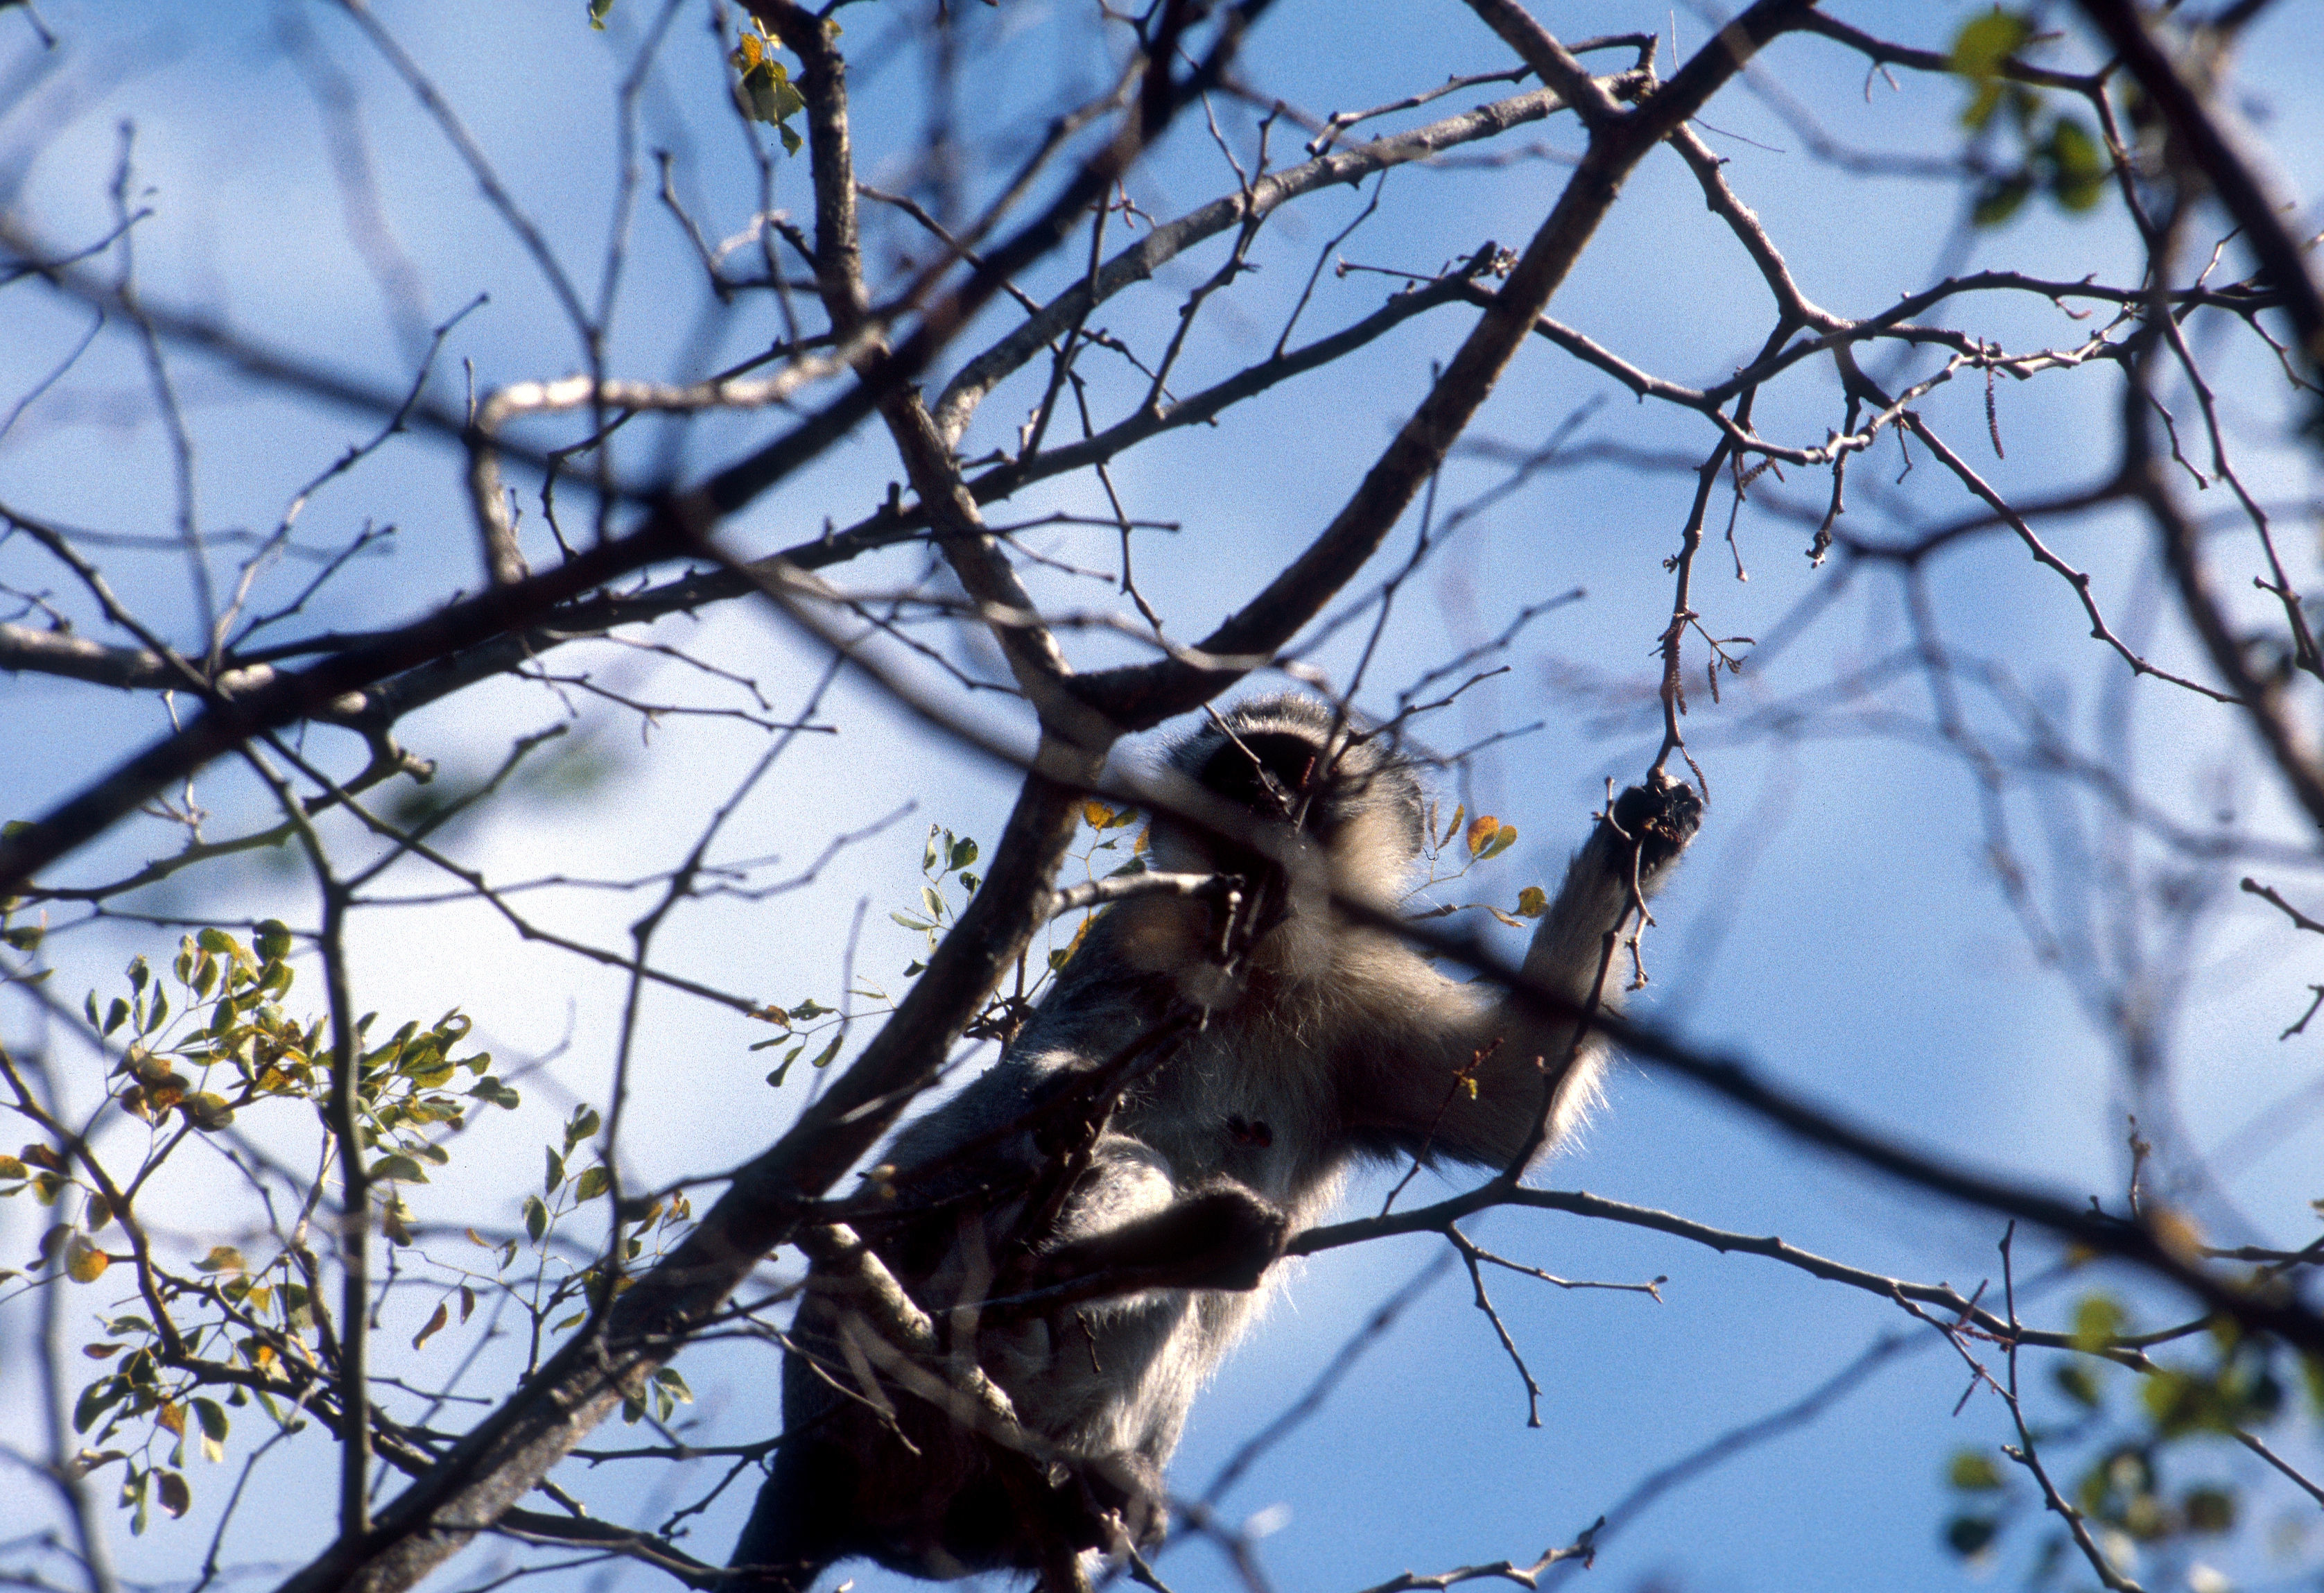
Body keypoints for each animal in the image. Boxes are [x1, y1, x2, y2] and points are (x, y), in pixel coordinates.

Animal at [734, 697, 1701, 1590]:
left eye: (1296, 771)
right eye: (1239, 772)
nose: (1265, 799)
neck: (1258, 962)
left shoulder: (1358, 992)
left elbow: (1512, 1096)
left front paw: (1641, 840)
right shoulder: (1138, 931)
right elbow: (1029, 1084)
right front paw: (1059, 1097)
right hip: (893, 1311)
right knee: (1086, 1162)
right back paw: (1081, 1268)